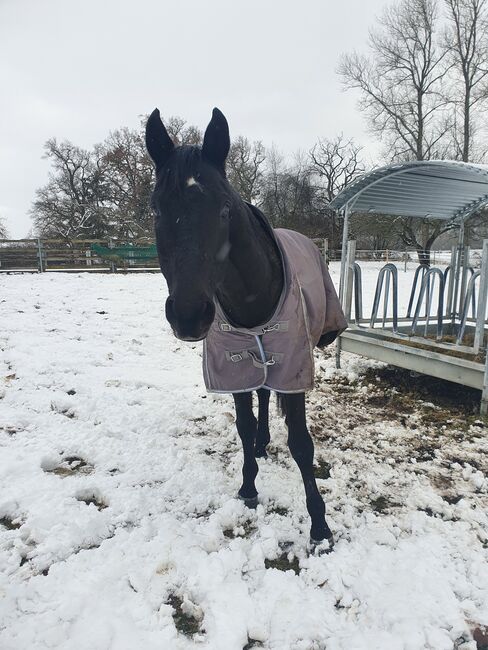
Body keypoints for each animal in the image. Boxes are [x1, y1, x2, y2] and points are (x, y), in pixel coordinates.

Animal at [146, 106, 340, 548]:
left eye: (223, 209)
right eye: (156, 209)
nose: (188, 316)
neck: (253, 295)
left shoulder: (294, 366)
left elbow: (301, 443)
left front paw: (319, 526)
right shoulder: (231, 366)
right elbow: (244, 424)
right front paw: (249, 487)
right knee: (263, 395)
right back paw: (263, 443)